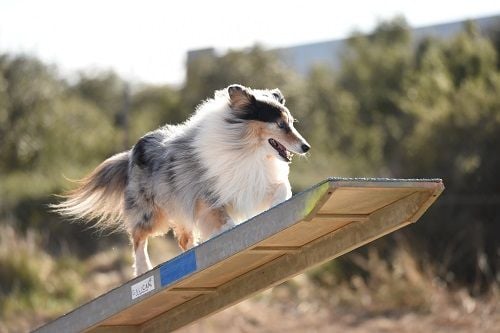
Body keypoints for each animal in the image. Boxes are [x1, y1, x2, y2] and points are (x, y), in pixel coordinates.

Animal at [53, 84, 308, 276]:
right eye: (280, 124)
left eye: (291, 122)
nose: (306, 147)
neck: (247, 149)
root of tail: (132, 151)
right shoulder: (207, 197)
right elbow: (224, 220)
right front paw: (228, 231)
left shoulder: (256, 184)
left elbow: (281, 189)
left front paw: (278, 207)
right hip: (151, 213)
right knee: (137, 237)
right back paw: (144, 268)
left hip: (179, 209)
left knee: (183, 241)